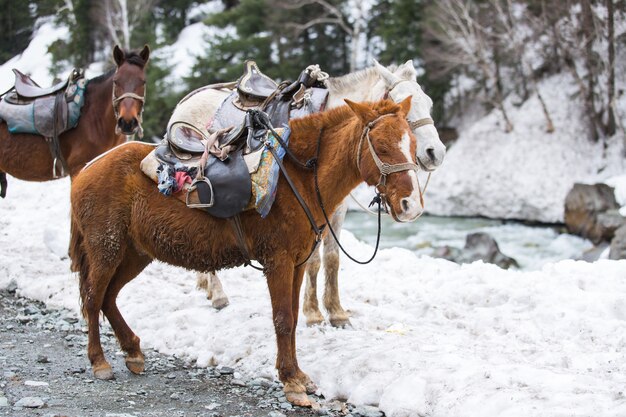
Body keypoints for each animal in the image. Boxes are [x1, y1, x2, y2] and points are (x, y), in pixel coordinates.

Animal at [68, 96, 422, 404]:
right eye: (382, 146)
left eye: (413, 146)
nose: (411, 206)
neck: (299, 177)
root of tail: (87, 168)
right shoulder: (278, 261)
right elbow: (282, 319)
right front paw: (291, 382)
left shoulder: (297, 263)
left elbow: (294, 317)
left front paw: (299, 376)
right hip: (106, 249)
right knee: (94, 298)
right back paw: (100, 362)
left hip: (135, 254)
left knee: (109, 298)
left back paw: (133, 351)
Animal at [185, 59, 444, 324]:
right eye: (403, 106)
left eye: (429, 103)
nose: (436, 152)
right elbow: (313, 259)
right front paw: (312, 312)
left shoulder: (337, 208)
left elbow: (332, 257)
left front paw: (336, 312)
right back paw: (218, 294)